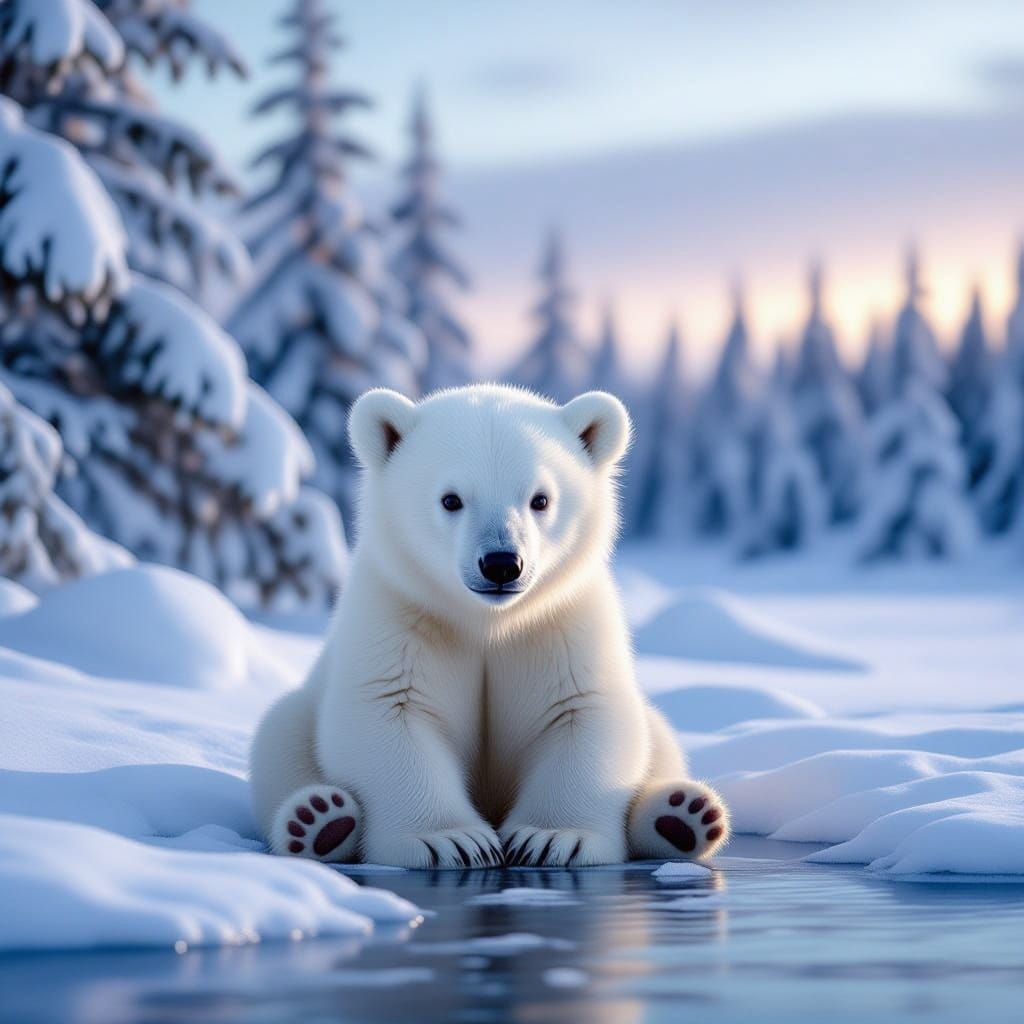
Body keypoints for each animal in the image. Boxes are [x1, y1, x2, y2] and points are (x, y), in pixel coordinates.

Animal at [250, 384, 729, 868]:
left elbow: (585, 711)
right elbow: (390, 709)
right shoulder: (401, 612)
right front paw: (450, 840)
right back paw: (319, 821)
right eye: (451, 499)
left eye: (540, 499)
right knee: (279, 737)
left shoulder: (562, 622)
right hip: (298, 714)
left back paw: (681, 815)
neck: (488, 623)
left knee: (660, 739)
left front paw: (552, 837)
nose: (501, 563)